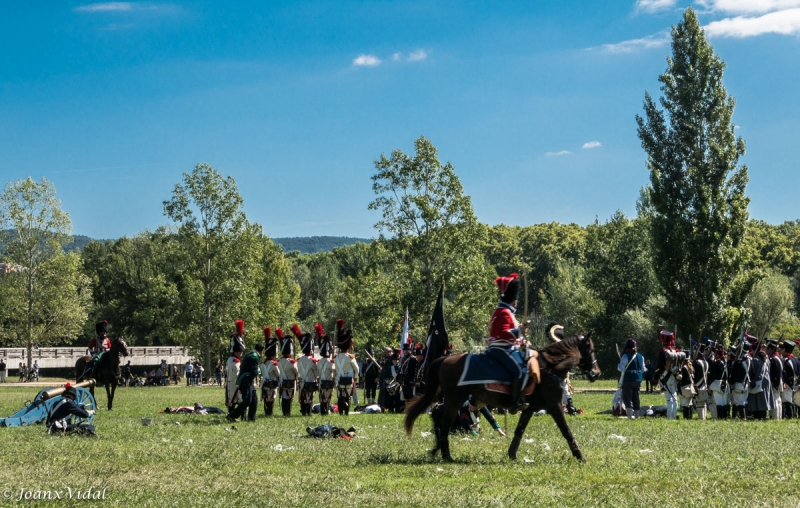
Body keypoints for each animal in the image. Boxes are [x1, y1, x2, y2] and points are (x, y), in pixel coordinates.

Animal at [406, 332, 600, 462]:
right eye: (591, 349)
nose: (596, 373)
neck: (549, 368)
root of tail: (445, 359)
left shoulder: (530, 408)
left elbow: (519, 431)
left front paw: (512, 454)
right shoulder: (554, 406)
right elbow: (566, 430)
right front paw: (580, 456)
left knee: (438, 420)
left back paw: (436, 450)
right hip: (455, 400)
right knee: (444, 423)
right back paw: (446, 455)